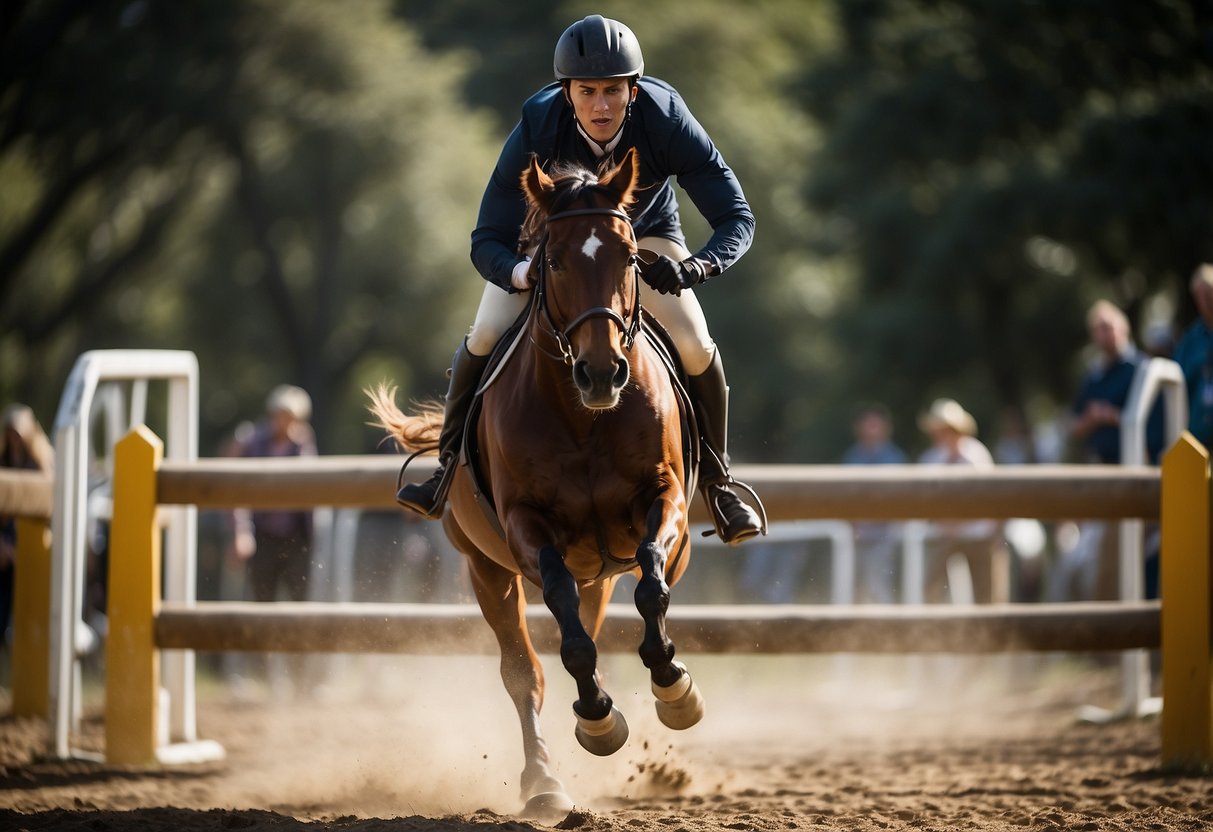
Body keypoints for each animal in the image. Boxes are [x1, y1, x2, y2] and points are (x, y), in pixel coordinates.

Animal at [373, 146, 708, 819]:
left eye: (630, 258)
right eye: (552, 261)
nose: (602, 374)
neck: (584, 417)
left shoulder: (663, 503)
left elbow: (652, 587)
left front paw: (674, 690)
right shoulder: (525, 528)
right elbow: (562, 636)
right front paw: (599, 720)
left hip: (600, 571)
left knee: (602, 612)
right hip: (485, 569)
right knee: (524, 670)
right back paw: (544, 780)